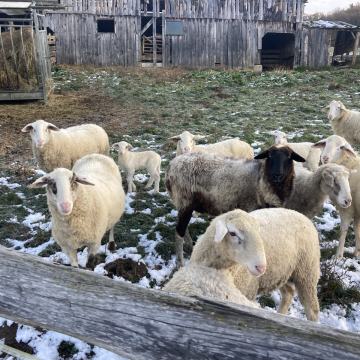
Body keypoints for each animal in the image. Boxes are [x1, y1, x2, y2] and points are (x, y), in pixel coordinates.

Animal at [165, 145, 306, 266]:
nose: (277, 175)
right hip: (185, 201)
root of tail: (171, 166)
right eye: (269, 156)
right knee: (179, 231)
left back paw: (190, 246)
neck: (262, 179)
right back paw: (180, 262)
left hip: (185, 204)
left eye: (289, 157)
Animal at [167, 208, 320, 320]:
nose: (261, 267)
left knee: (312, 309)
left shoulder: (249, 291)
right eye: (233, 233)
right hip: (283, 272)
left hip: (307, 272)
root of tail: (301, 215)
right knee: (288, 293)